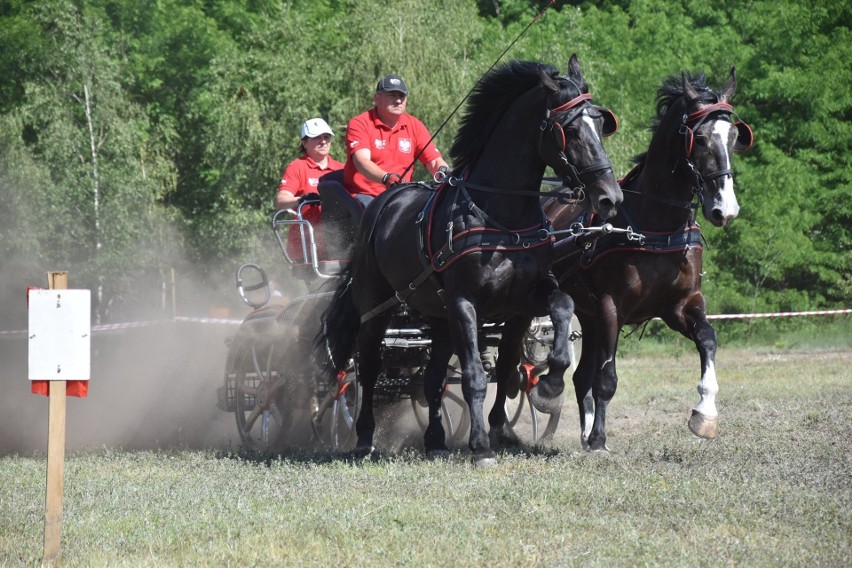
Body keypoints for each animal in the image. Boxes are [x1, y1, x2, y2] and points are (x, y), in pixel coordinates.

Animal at [316, 56, 624, 466]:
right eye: (570, 129)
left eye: (601, 124)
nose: (610, 198)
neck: (503, 218)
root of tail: (383, 205)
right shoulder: (465, 302)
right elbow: (475, 375)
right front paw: (481, 445)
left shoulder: (524, 302)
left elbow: (528, 347)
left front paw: (544, 389)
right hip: (376, 309)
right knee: (367, 367)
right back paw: (364, 438)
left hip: (437, 316)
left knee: (431, 378)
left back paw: (435, 439)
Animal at [544, 69, 756, 450]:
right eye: (701, 138)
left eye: (734, 137)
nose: (726, 209)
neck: (656, 224)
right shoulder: (611, 307)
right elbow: (607, 379)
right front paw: (599, 439)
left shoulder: (680, 305)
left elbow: (708, 339)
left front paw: (705, 412)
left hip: (589, 314)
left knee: (581, 376)